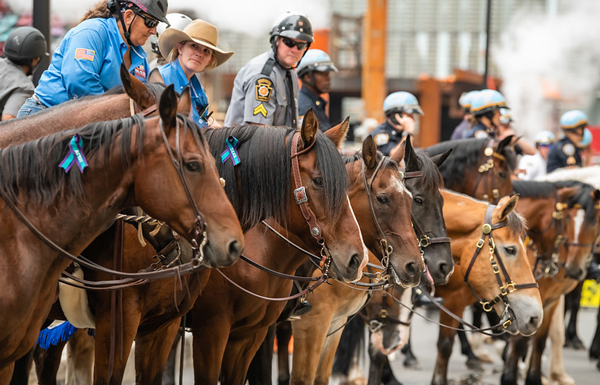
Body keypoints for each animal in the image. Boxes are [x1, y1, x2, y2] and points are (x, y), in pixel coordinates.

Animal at [502, 180, 600, 384]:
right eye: (567, 219)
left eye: (594, 221)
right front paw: (509, 377)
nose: (574, 268)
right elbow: (521, 340)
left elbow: (540, 339)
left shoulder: (551, 300)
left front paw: (533, 378)